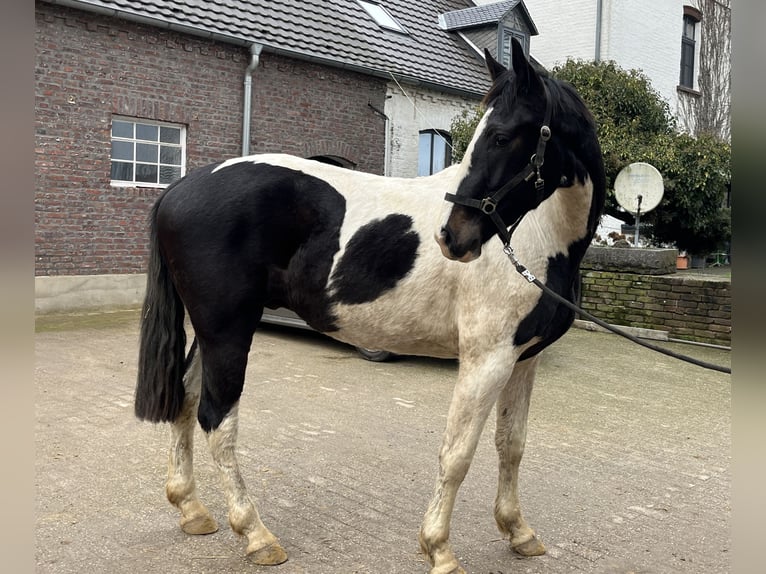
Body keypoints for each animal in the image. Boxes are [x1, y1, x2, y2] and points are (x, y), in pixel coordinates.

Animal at [136, 38, 608, 572]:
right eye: (486, 134)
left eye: (504, 136)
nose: (452, 237)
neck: (541, 239)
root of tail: (178, 189)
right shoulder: (486, 359)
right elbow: (457, 454)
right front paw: (438, 548)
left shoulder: (523, 360)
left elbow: (512, 445)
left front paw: (518, 531)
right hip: (228, 332)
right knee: (217, 420)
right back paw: (255, 534)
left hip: (211, 333)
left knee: (185, 399)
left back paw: (192, 510)